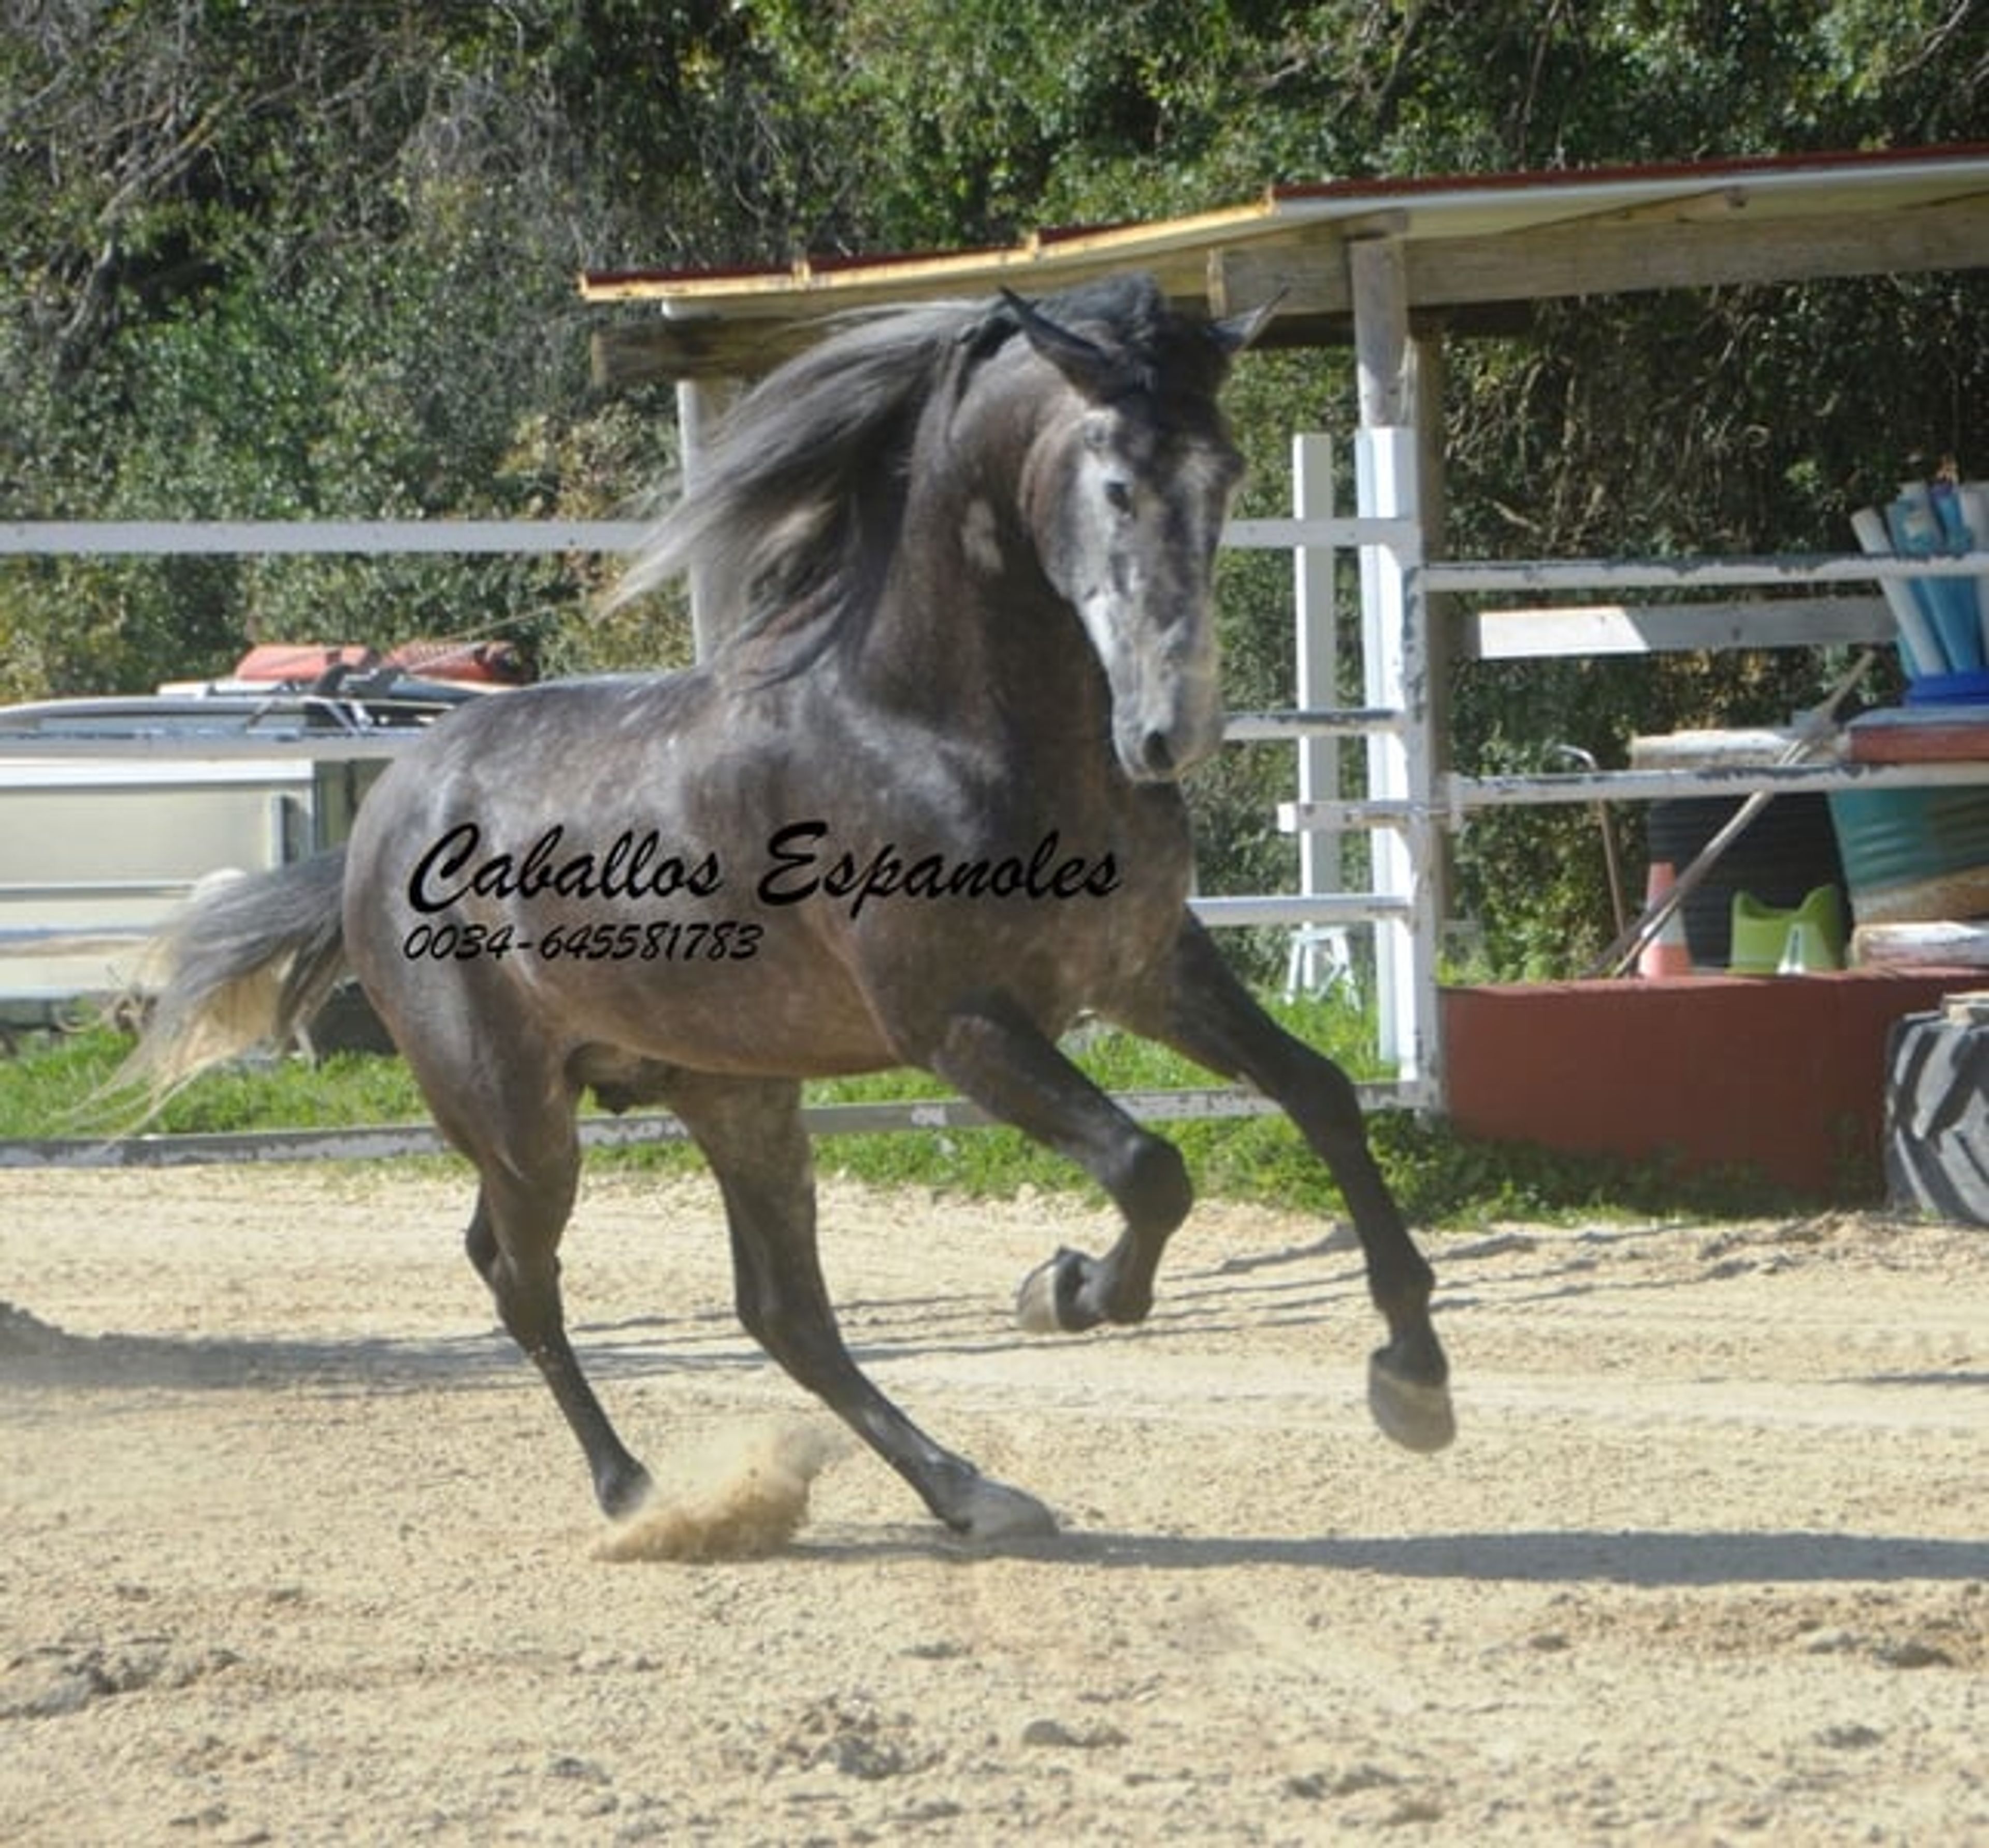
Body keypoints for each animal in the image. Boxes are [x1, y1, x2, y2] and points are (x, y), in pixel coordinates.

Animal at [126, 273, 1454, 1541]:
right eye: (1119, 483)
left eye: (1225, 472)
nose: (1170, 733)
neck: (937, 726)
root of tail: (378, 819)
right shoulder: (960, 1023)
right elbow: (1150, 1166)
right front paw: (1065, 1289)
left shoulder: (1146, 969)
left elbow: (1321, 1097)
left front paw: (1414, 1376)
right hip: (516, 1115)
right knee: (521, 1276)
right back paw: (636, 1494)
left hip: (738, 1095)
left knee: (781, 1311)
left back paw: (970, 1493)